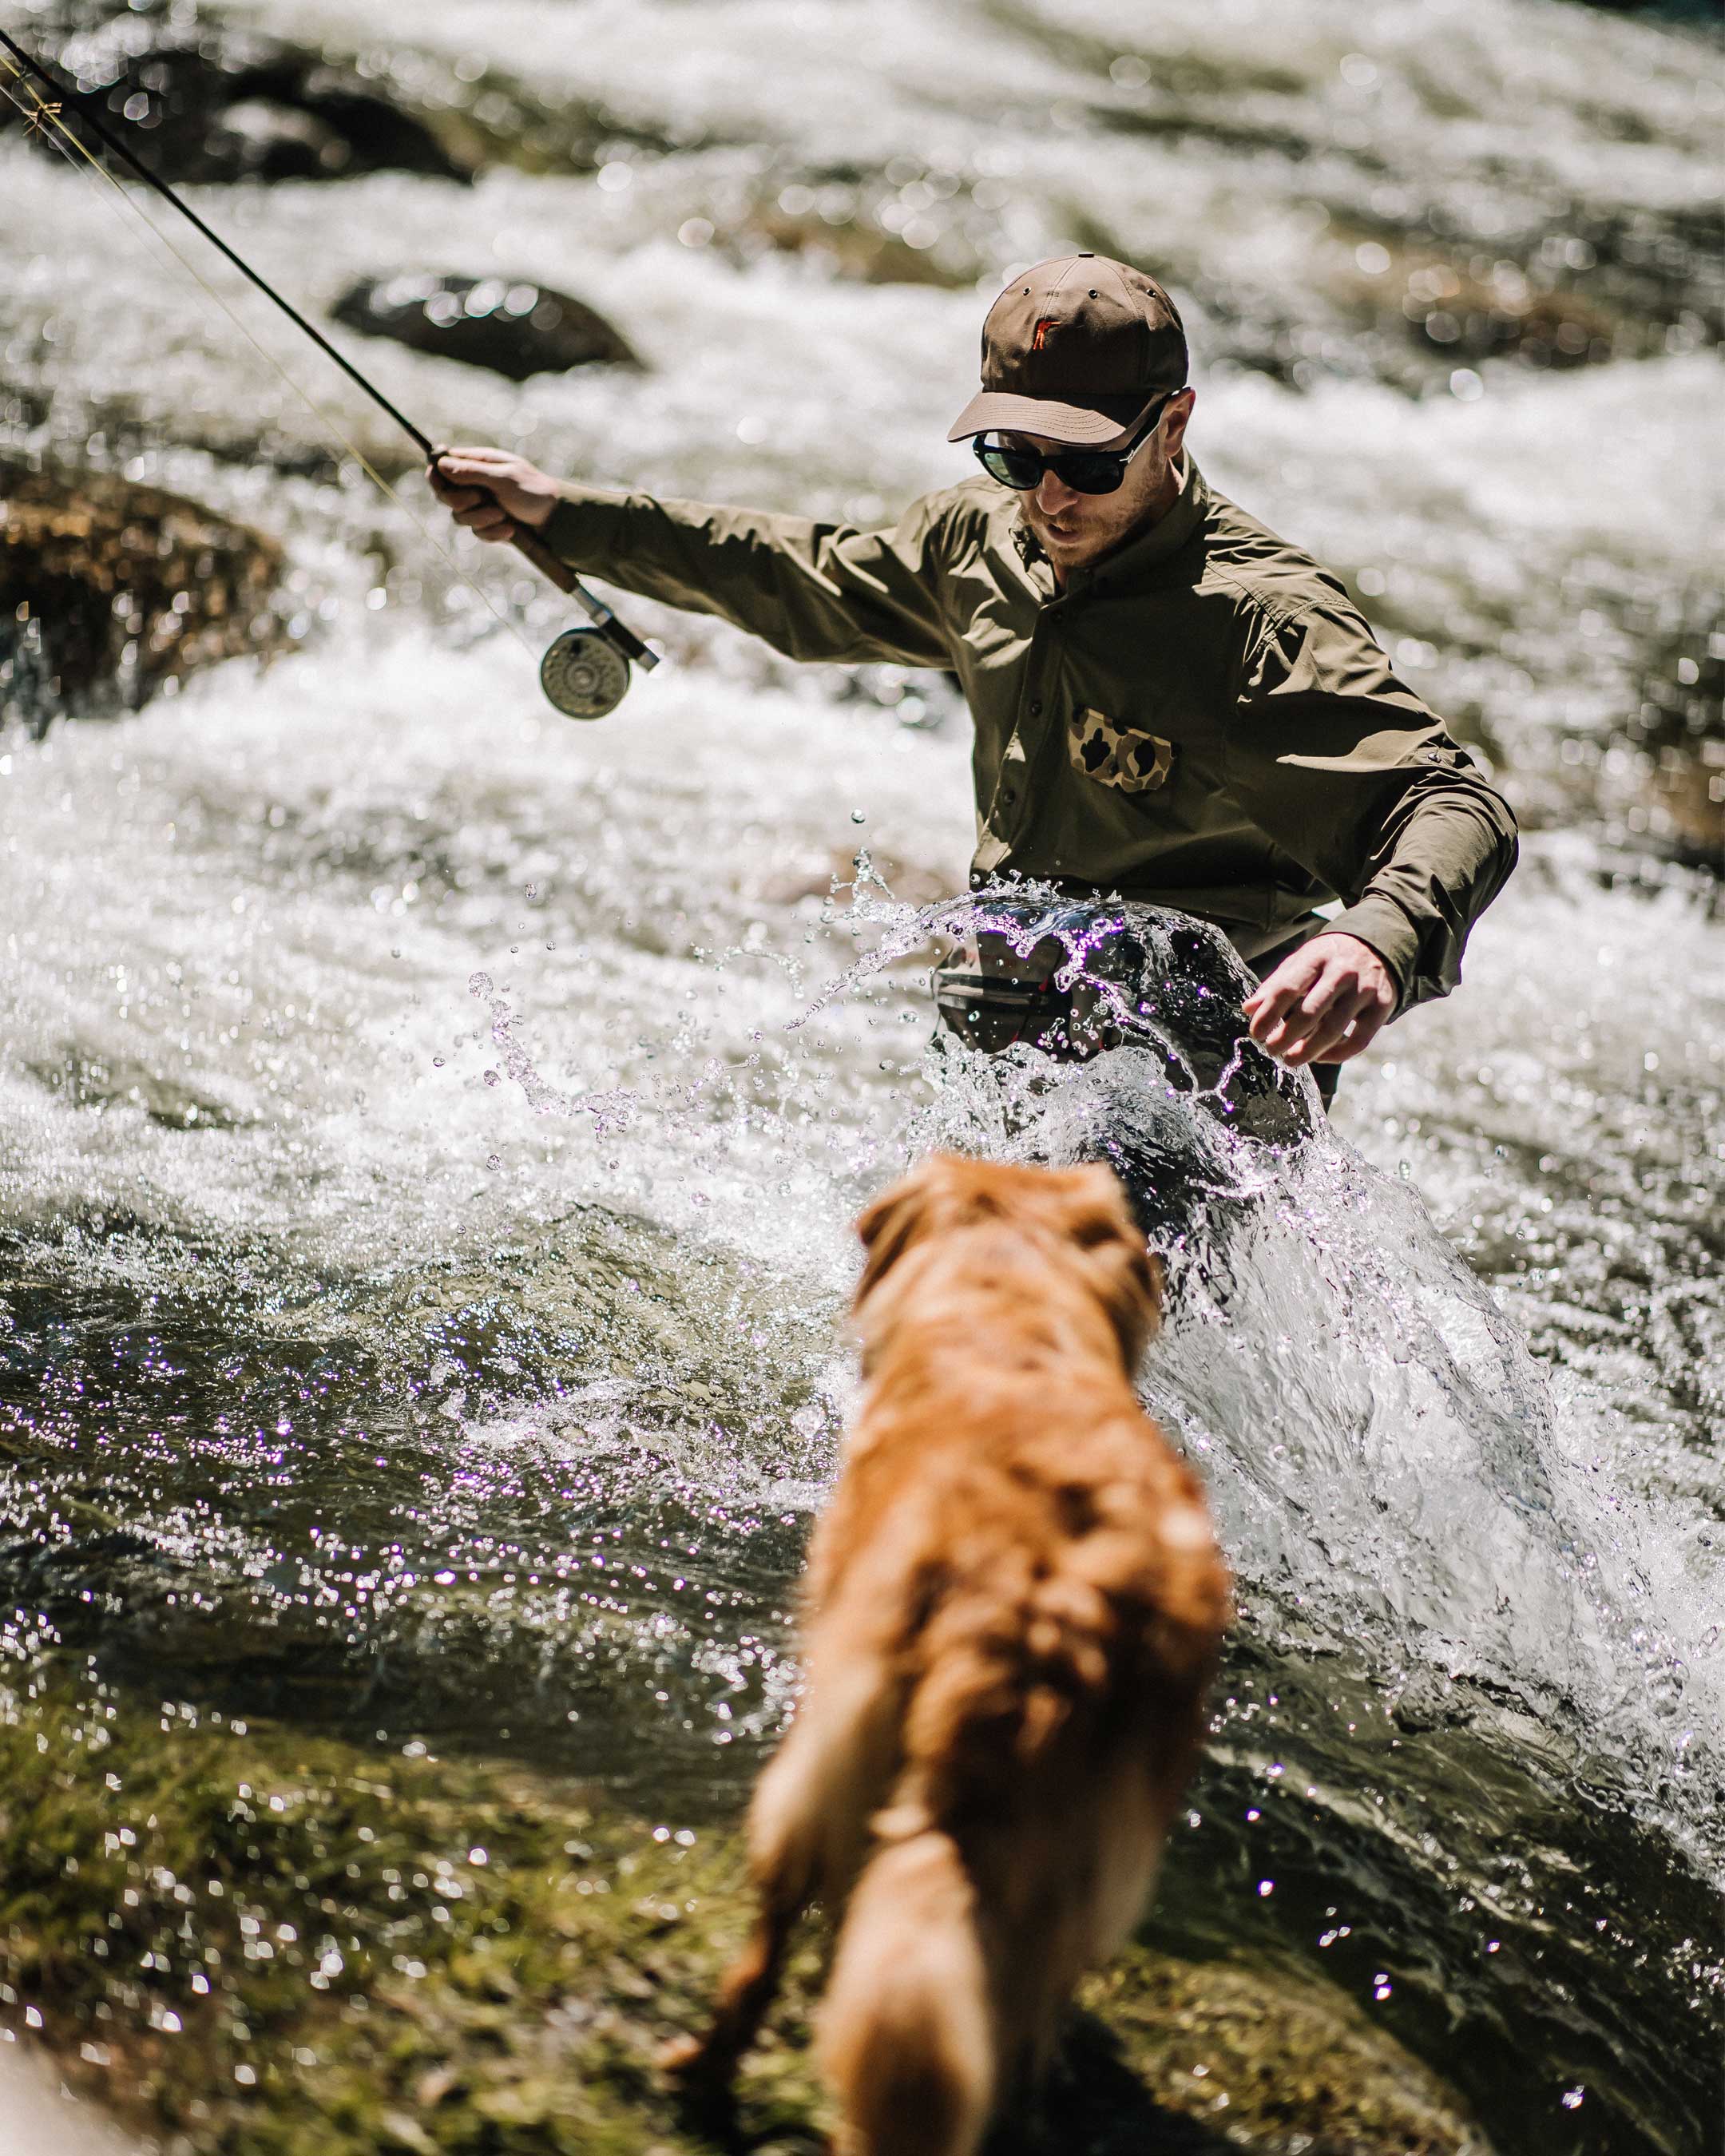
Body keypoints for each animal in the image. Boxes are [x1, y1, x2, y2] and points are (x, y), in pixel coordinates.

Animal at [668, 1164, 1233, 2156]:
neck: (1010, 1323)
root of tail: (1043, 1616)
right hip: (1085, 1858)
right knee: (1013, 2017)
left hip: (824, 1766)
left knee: (776, 1937)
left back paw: (703, 2064)